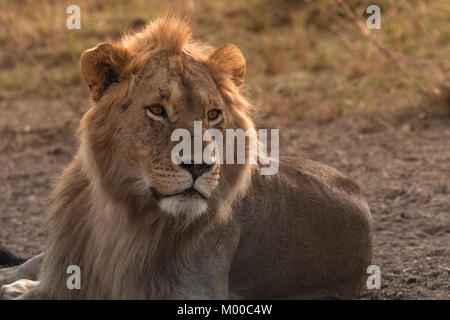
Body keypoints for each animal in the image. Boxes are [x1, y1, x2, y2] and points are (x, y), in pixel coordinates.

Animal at [0, 14, 372, 300]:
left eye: (212, 115)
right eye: (156, 109)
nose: (199, 165)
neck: (121, 215)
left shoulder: (193, 290)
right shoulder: (67, 272)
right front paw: (19, 286)